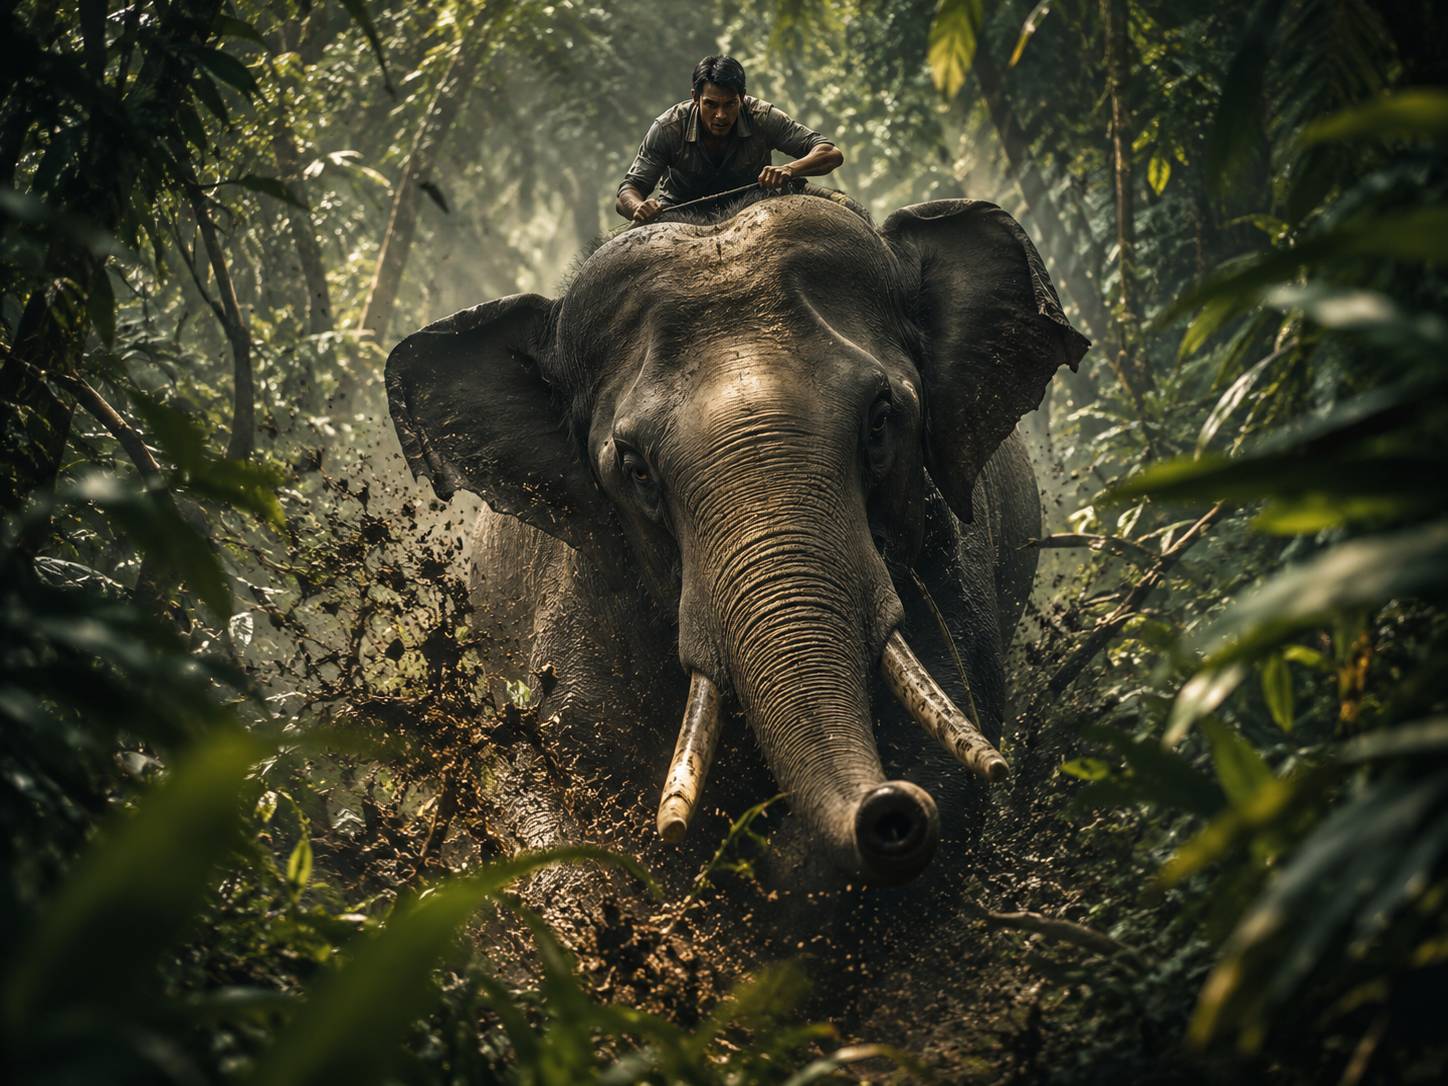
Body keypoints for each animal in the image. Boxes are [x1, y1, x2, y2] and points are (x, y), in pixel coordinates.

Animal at [385, 190, 1088, 922]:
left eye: (880, 417)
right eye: (633, 466)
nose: (886, 810)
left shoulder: (948, 556)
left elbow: (948, 763)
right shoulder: (587, 585)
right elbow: (563, 772)